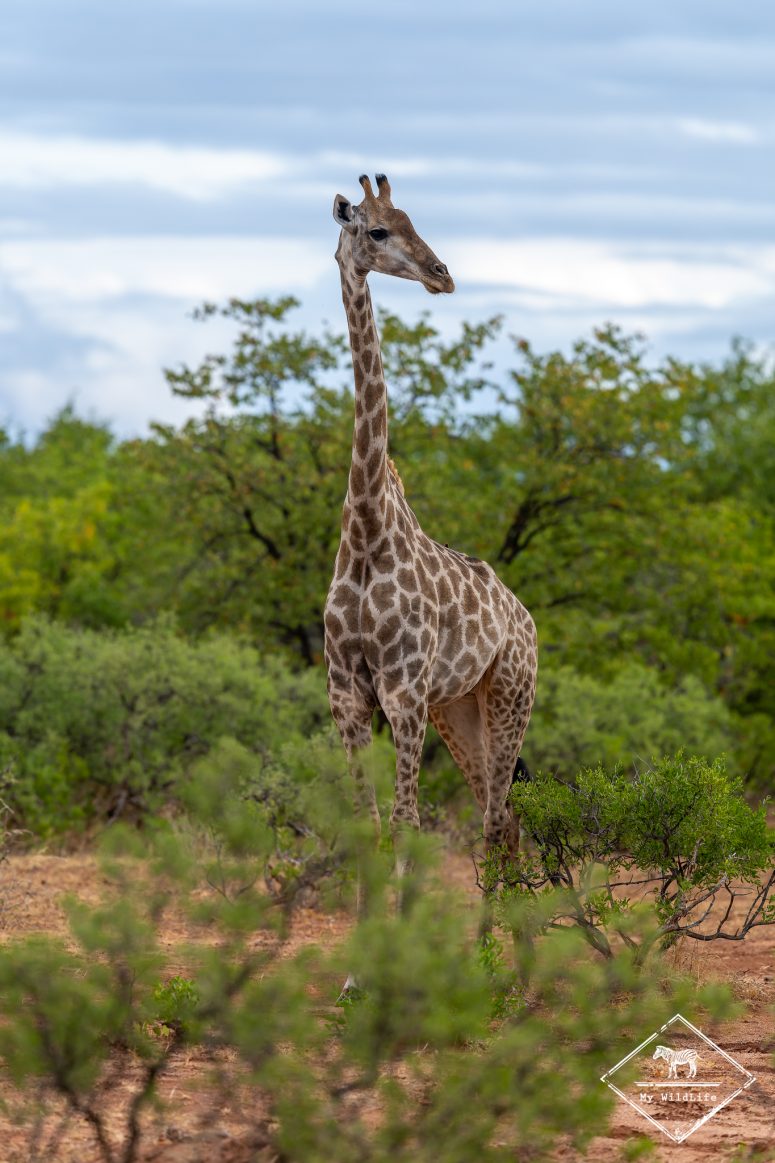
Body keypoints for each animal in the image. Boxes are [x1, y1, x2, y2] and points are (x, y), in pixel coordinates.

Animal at [325, 173, 537, 911]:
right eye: (378, 230)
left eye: (415, 222)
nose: (442, 274)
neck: (364, 531)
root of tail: (525, 620)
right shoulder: (348, 697)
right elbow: (365, 826)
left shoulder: (403, 694)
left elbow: (405, 824)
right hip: (459, 708)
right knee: (504, 820)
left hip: (509, 696)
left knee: (497, 819)